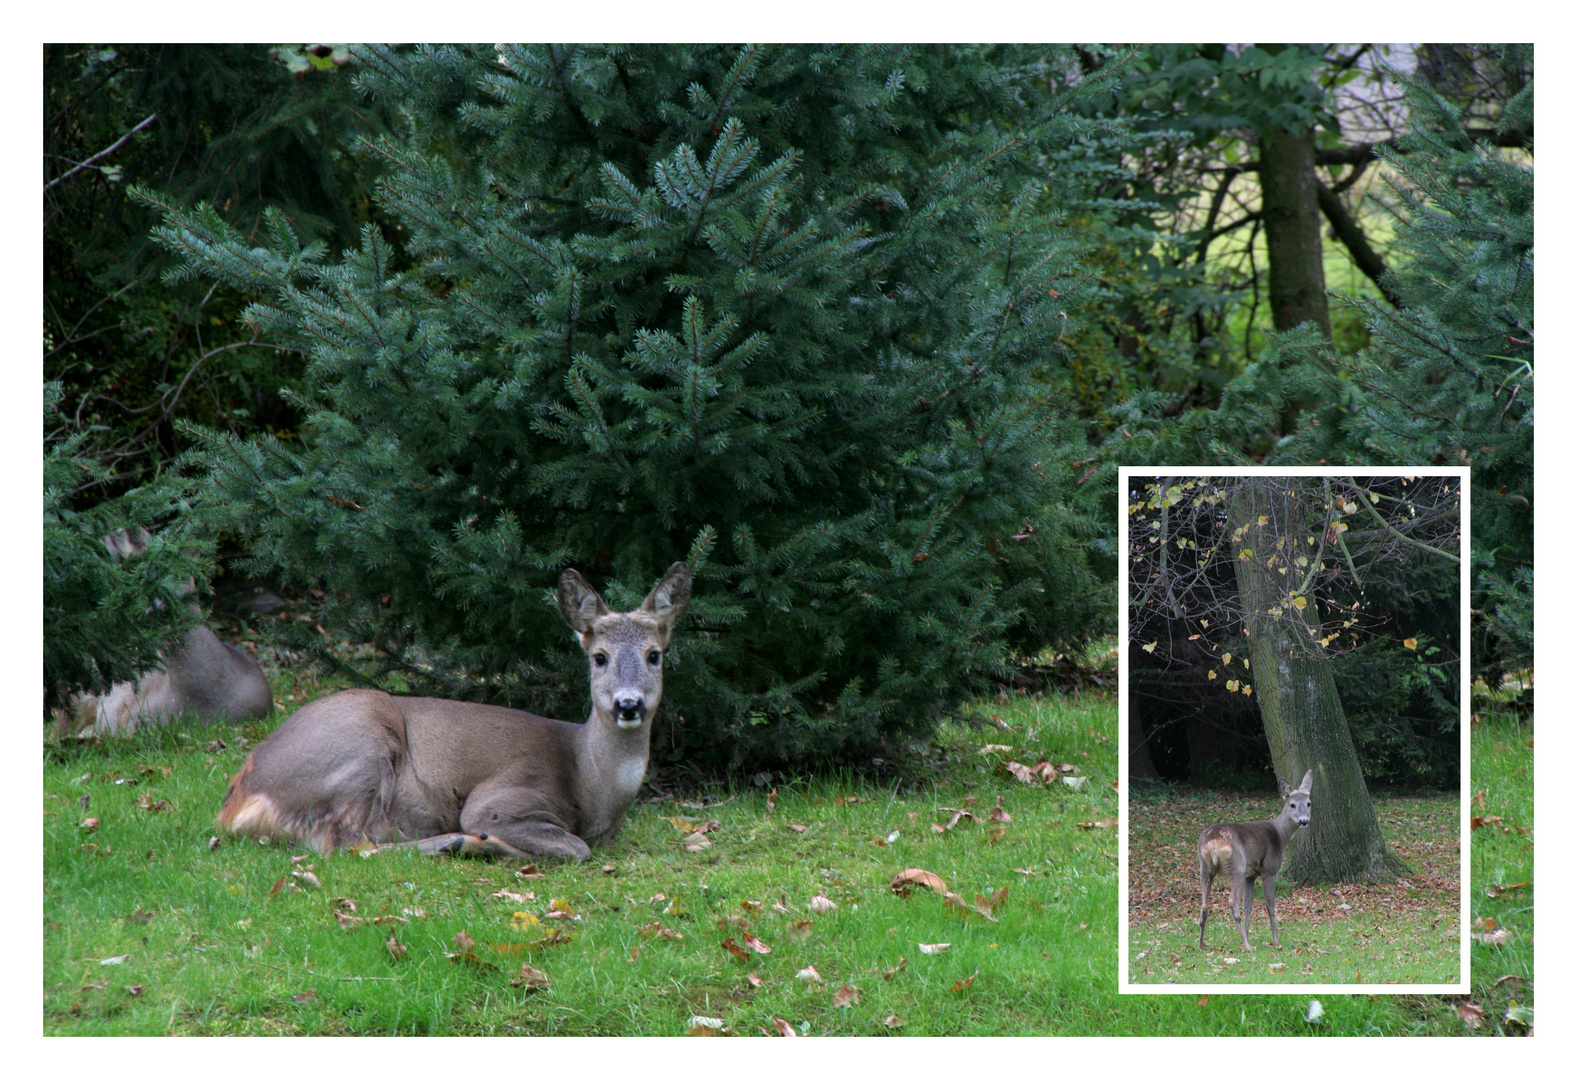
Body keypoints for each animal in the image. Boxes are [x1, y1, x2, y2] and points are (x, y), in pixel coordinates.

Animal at [217, 564, 690, 857]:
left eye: (654, 655)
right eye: (599, 657)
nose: (628, 704)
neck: (591, 783)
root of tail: (236, 805)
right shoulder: (501, 797)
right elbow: (576, 848)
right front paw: (489, 840)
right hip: (363, 741)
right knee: (347, 843)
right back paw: (460, 842)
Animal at [1198, 766, 1312, 952]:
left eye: (1308, 803)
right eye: (1292, 804)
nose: (1304, 821)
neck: (1280, 835)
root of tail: (1213, 843)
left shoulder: (1250, 875)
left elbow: (1248, 905)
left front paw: (1246, 935)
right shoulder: (1269, 870)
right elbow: (1270, 905)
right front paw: (1275, 940)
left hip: (1205, 868)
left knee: (1204, 905)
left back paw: (1201, 945)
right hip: (1236, 866)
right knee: (1232, 902)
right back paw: (1247, 947)